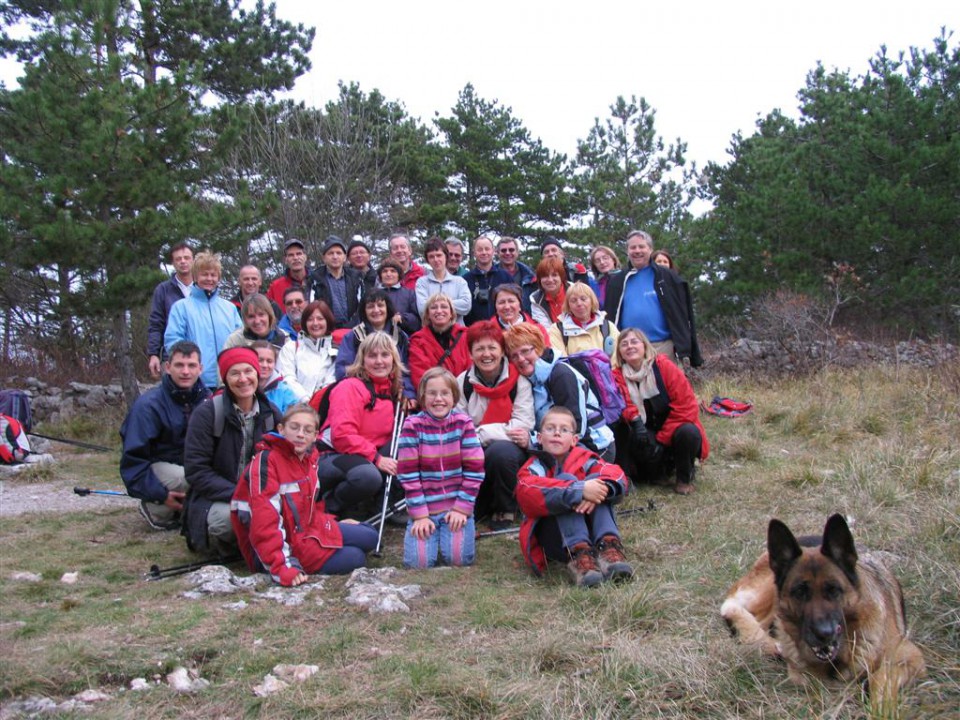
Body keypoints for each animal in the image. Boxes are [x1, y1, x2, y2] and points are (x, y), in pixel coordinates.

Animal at [724, 516, 928, 704]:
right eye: (799, 592)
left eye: (834, 590)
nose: (824, 633)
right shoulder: (800, 674)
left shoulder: (912, 656)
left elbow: (880, 678)